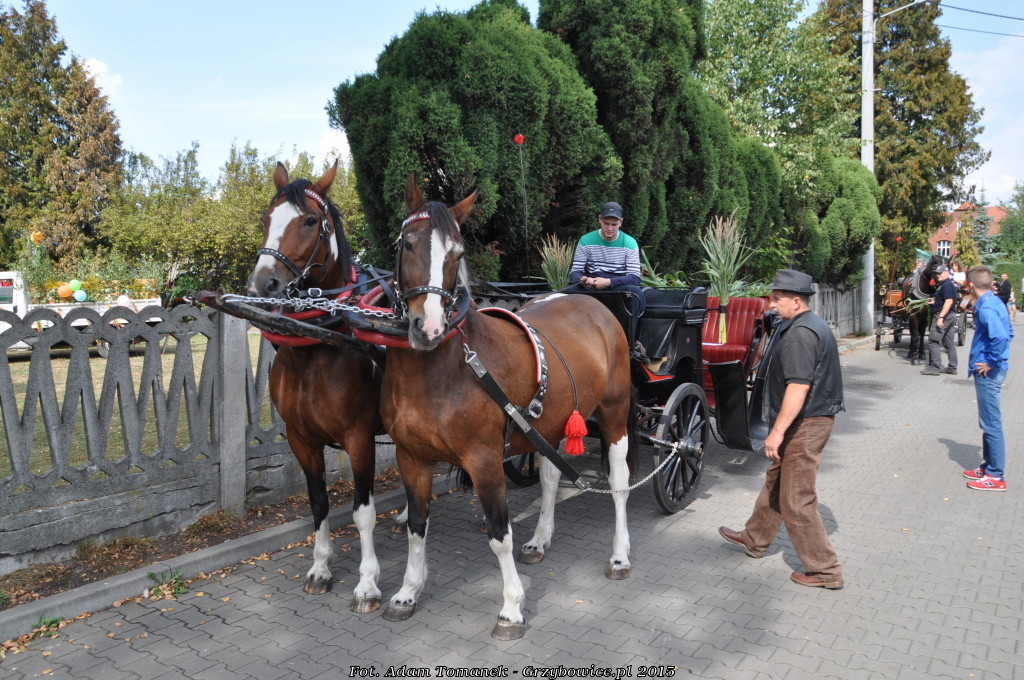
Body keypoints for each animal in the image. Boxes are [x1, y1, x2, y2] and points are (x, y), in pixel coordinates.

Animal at [245, 161, 386, 613]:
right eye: (266, 218)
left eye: (310, 221)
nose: (263, 285)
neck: (319, 345)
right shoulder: (301, 438)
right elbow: (319, 501)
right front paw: (320, 569)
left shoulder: (359, 438)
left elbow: (362, 512)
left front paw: (367, 584)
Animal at [378, 174, 638, 640]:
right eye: (406, 244)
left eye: (458, 254)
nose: (428, 328)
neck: (445, 368)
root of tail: (594, 305)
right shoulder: (411, 458)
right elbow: (416, 526)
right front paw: (407, 592)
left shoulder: (483, 460)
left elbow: (499, 534)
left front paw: (512, 607)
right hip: (551, 422)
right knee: (551, 476)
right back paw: (540, 539)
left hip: (614, 414)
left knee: (621, 483)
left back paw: (620, 555)